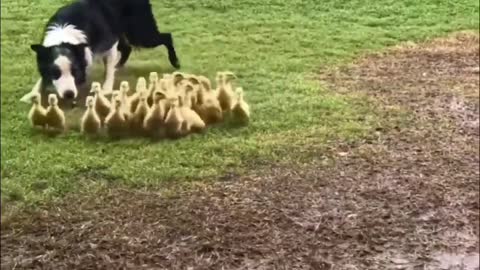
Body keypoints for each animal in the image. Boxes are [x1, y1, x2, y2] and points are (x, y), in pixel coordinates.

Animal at [20, 0, 180, 103]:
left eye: (75, 71)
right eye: (55, 73)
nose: (69, 95)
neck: (64, 36)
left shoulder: (109, 43)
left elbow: (108, 70)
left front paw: (106, 89)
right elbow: (40, 79)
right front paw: (31, 94)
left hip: (140, 32)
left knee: (167, 36)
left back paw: (175, 62)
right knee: (127, 48)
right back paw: (119, 65)